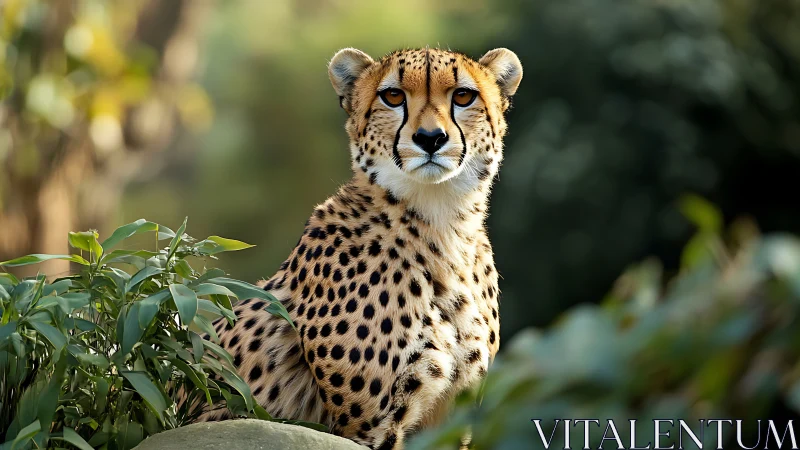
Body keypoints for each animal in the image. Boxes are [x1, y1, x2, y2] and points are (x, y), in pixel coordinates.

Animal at [203, 46, 522, 450]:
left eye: (464, 96)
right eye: (393, 96)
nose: (430, 138)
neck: (442, 222)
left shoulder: (452, 414)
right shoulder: (370, 427)